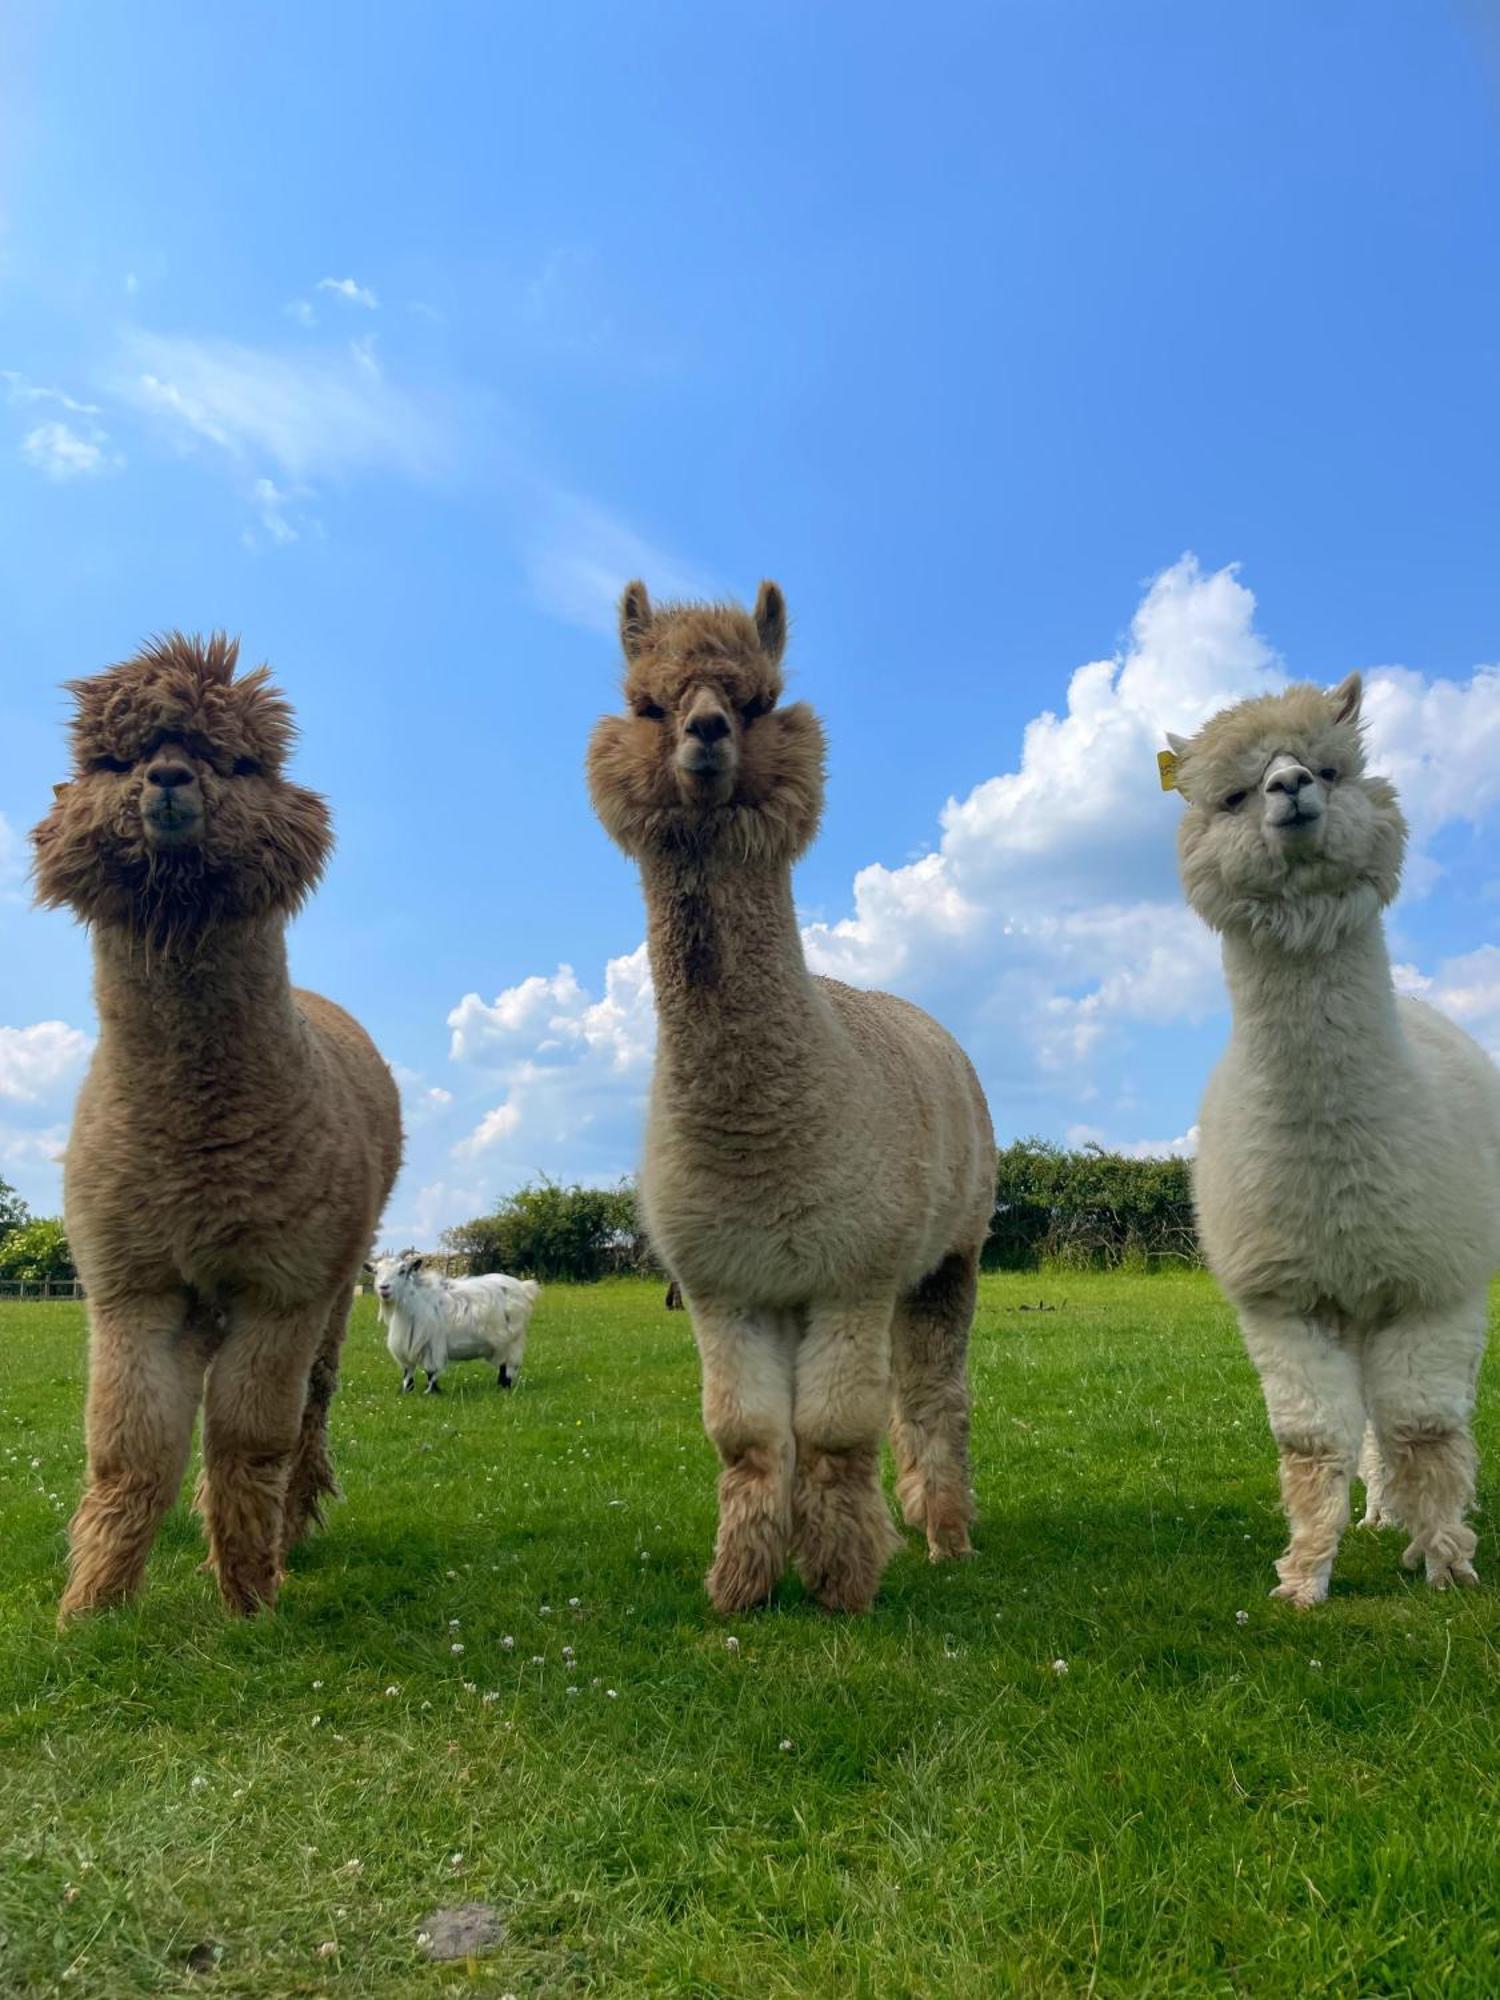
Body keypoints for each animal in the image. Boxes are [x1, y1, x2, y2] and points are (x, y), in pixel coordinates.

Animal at [374, 1248, 544, 1392]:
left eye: (402, 1270)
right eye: (376, 1272)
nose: (384, 1287)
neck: (416, 1300)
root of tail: (523, 1287)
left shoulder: (431, 1344)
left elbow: (431, 1371)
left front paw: (433, 1392)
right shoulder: (406, 1346)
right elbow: (408, 1371)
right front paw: (407, 1391)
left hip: (512, 1340)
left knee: (508, 1365)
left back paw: (505, 1387)